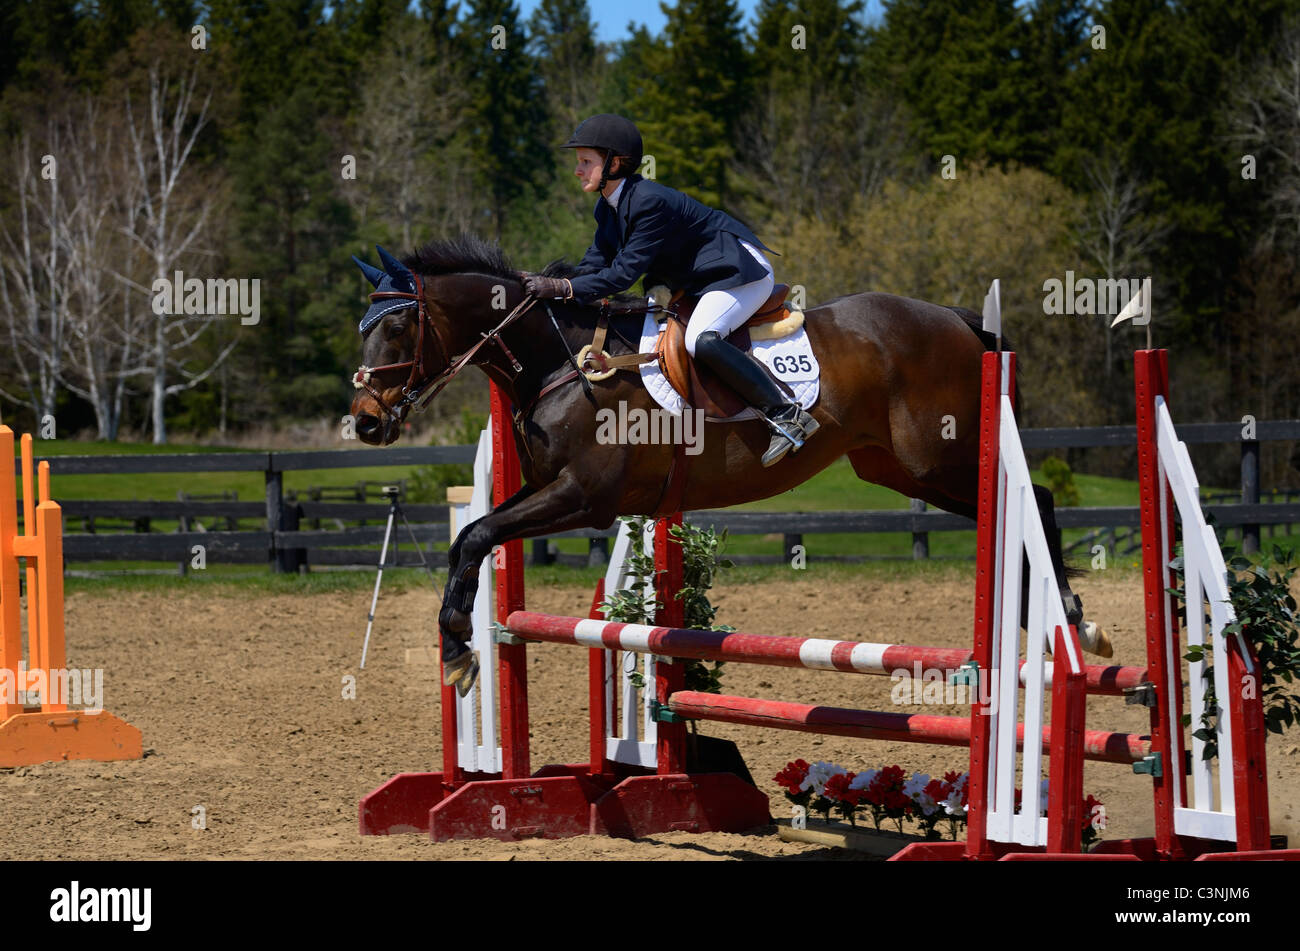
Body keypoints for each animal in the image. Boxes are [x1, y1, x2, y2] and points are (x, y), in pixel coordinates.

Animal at [349, 236, 1111, 692]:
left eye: (399, 326)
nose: (364, 421)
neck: (557, 362)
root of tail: (957, 320)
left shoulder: (582, 496)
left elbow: (476, 534)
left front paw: (456, 649)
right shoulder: (548, 490)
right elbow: (467, 540)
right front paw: (457, 647)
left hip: (938, 458)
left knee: (1035, 501)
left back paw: (1073, 621)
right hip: (895, 468)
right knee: (1009, 510)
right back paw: (1054, 626)